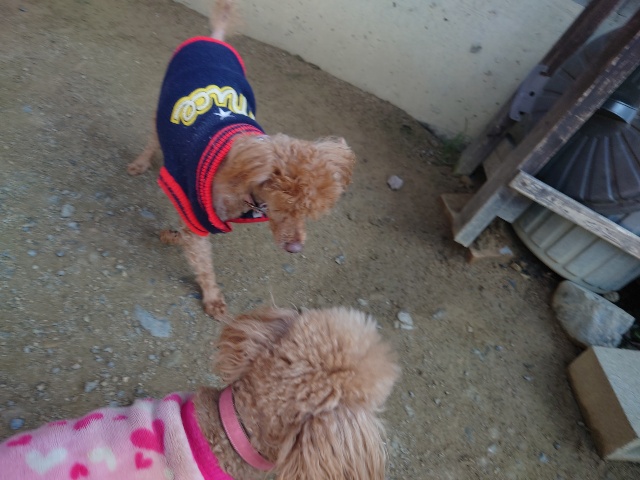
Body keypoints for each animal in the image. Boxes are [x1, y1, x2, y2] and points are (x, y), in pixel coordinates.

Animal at [127, 0, 356, 319]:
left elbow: (189, 239)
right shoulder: (194, 210)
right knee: (153, 136)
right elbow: (201, 259)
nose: (295, 248)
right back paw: (140, 162)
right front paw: (212, 297)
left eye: (308, 213)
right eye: (283, 207)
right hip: (162, 105)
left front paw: (173, 236)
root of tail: (214, 39)